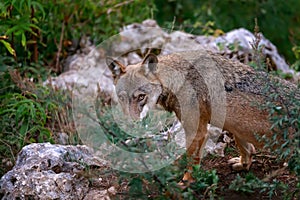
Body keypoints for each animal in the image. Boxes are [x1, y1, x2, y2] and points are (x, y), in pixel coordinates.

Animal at [106, 50, 298, 181]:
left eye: (141, 97)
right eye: (122, 98)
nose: (130, 124)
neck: (177, 82)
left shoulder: (196, 131)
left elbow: (191, 161)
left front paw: (186, 182)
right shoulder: (230, 126)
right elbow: (246, 148)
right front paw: (244, 164)